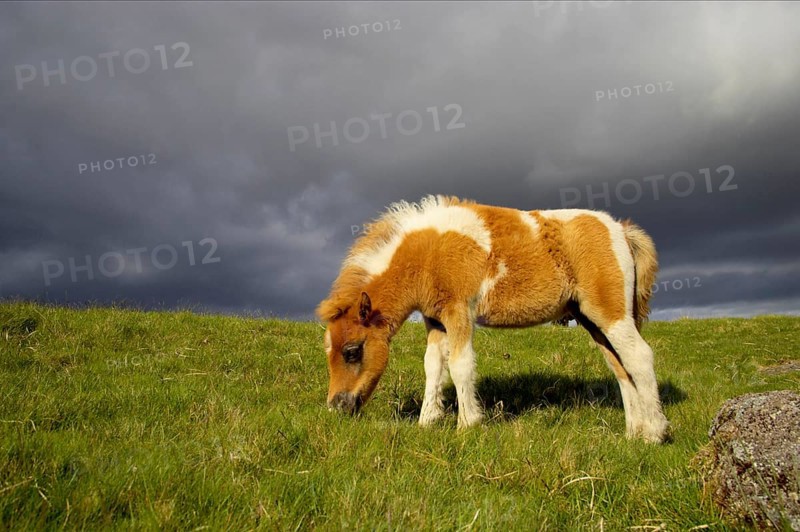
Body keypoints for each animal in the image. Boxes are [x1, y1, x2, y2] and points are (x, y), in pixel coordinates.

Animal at [316, 195, 670, 443]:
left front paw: (467, 424)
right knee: (619, 366)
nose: (336, 407)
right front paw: (427, 421)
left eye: (352, 351)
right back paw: (633, 433)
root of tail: (620, 229)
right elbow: (433, 366)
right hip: (591, 320)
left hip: (610, 313)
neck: (428, 253)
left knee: (639, 357)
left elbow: (460, 365)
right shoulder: (435, 320)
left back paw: (655, 433)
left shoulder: (458, 311)